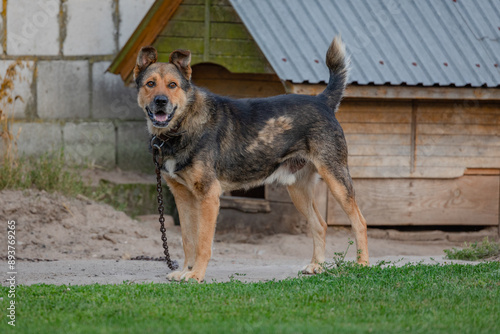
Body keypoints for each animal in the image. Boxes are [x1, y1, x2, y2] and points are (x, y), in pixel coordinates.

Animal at [133, 36, 368, 282]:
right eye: (150, 84)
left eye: (172, 85)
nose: (160, 101)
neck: (182, 125)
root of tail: (322, 101)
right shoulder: (182, 196)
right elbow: (188, 239)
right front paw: (185, 270)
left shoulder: (209, 195)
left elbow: (203, 243)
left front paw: (196, 274)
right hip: (298, 189)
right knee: (320, 225)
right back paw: (317, 266)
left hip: (336, 180)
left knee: (360, 221)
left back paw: (362, 264)